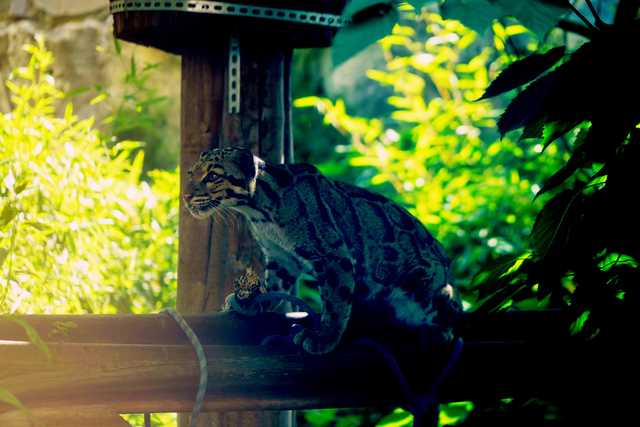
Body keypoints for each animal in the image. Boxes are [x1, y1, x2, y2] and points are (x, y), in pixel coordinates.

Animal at [185, 147, 460, 354]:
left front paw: (325, 337)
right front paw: (254, 302)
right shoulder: (281, 258)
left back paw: (439, 331)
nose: (186, 196)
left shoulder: (333, 255)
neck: (259, 212)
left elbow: (336, 301)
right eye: (190, 173)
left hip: (424, 285)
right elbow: (274, 287)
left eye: (213, 176)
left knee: (454, 310)